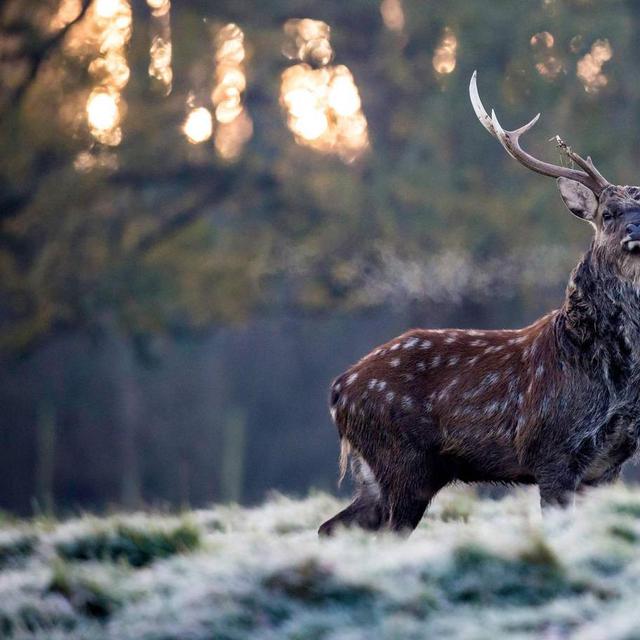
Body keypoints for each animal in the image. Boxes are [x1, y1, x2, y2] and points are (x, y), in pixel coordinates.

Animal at [320, 72, 640, 536]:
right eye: (608, 214)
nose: (635, 229)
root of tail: (338, 391)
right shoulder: (552, 452)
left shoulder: (610, 463)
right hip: (402, 463)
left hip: (377, 476)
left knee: (333, 526)